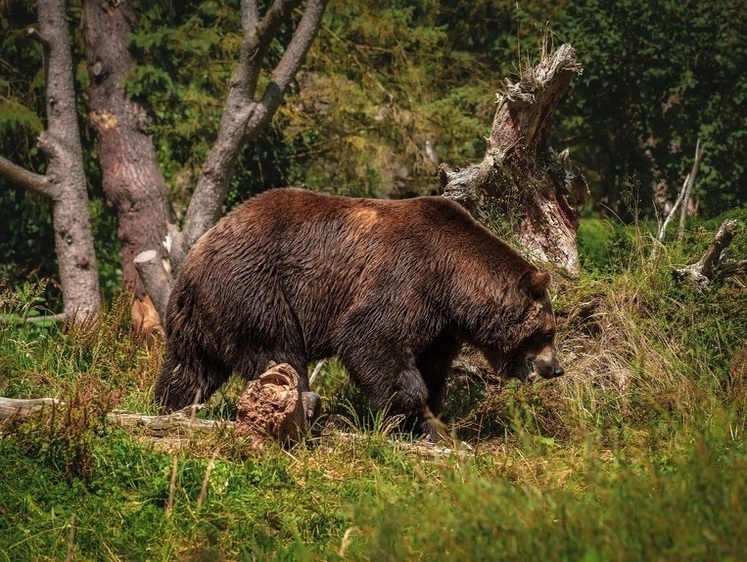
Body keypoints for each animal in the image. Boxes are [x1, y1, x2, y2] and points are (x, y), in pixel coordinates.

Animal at [155, 188, 564, 434]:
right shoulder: (408, 277)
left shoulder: (441, 324)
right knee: (277, 352)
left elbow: (432, 366)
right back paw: (307, 406)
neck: (453, 281)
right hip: (255, 289)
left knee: (189, 368)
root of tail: (193, 258)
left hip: (200, 317)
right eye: (546, 333)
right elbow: (371, 338)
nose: (556, 368)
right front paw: (403, 413)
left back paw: (168, 407)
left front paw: (430, 422)